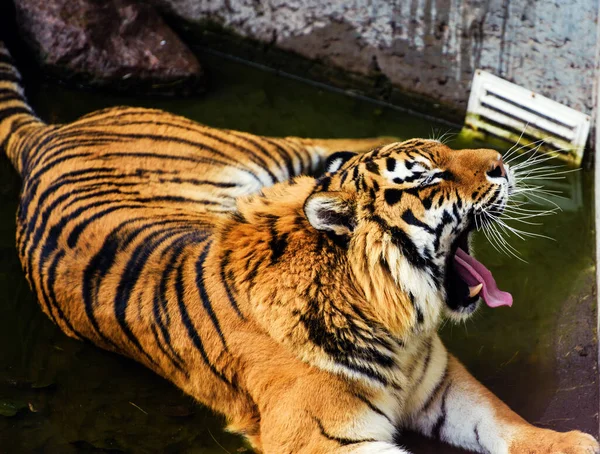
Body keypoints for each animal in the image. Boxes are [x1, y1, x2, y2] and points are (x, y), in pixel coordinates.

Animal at [1, 40, 600, 454]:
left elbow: (504, 419)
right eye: (430, 178)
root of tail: (43, 136)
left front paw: (567, 444)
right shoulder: (317, 437)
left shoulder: (441, 383)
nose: (501, 163)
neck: (396, 326)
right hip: (253, 147)